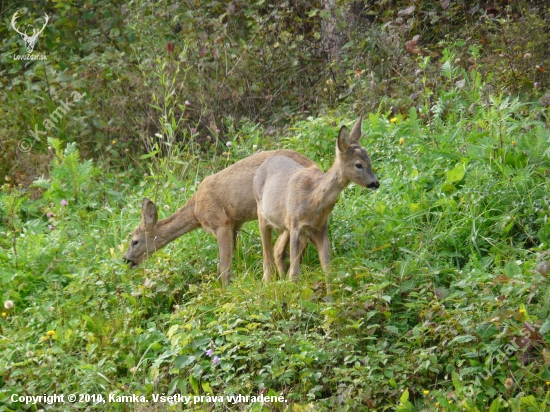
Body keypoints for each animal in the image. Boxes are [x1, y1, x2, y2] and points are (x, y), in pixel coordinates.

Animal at [122, 149, 316, 286]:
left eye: (135, 241)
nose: (126, 260)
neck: (196, 212)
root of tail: (313, 164)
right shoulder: (235, 224)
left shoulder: (220, 221)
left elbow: (223, 265)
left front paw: (225, 290)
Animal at [253, 117, 380, 294]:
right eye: (358, 164)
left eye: (370, 161)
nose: (375, 183)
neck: (312, 200)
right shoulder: (296, 226)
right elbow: (295, 272)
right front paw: (295, 296)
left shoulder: (320, 228)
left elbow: (327, 267)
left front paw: (330, 297)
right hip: (262, 214)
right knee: (267, 255)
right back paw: (269, 284)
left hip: (284, 224)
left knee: (277, 250)